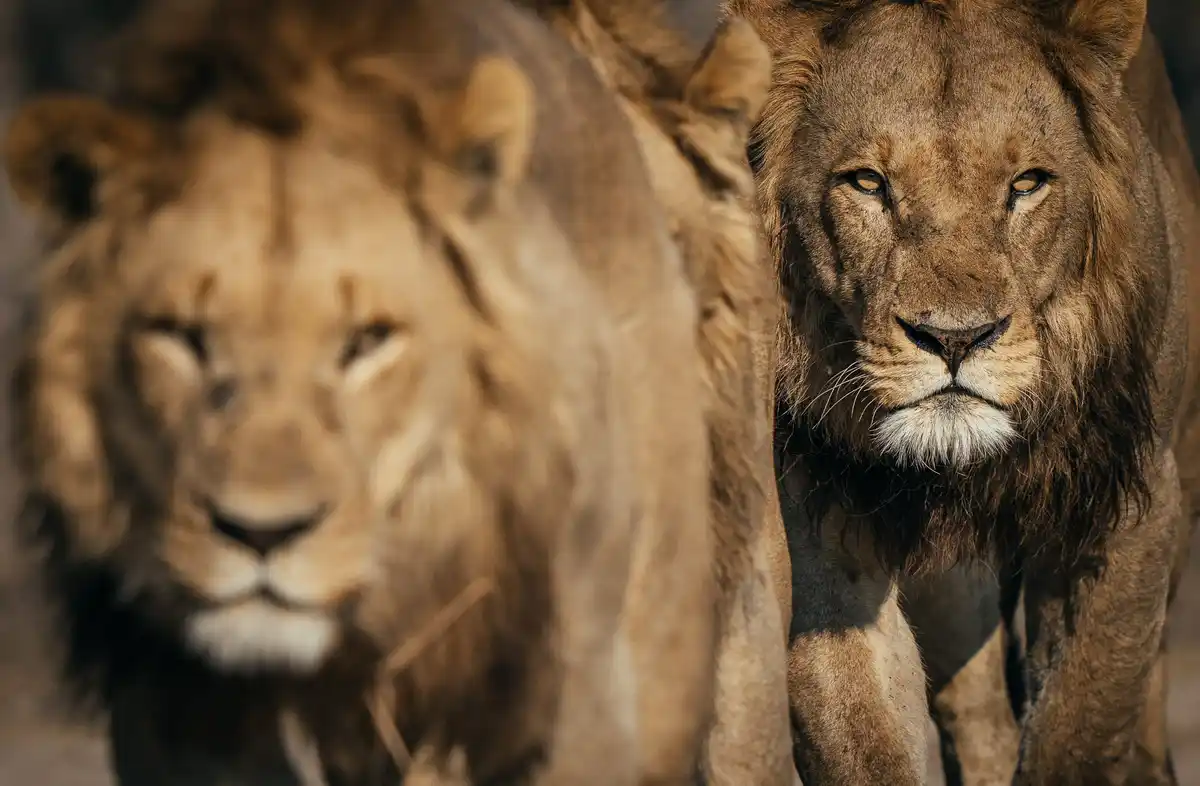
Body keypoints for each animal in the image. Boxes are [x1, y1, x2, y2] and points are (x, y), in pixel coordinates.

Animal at [727, 0, 1200, 783]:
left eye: (1027, 183)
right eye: (867, 183)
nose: (955, 339)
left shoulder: (1130, 503)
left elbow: (1080, 725)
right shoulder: (818, 517)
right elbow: (862, 732)